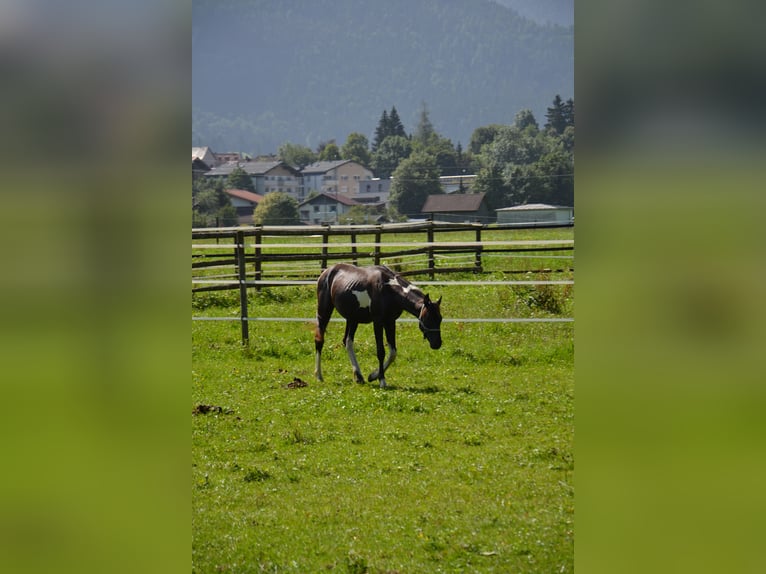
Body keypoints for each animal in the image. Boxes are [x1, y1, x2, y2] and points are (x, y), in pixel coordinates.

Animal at [314, 264, 444, 390]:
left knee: (347, 341)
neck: (389, 289)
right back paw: (319, 375)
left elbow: (393, 352)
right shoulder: (378, 322)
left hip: (352, 319)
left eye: (440, 319)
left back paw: (358, 376)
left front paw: (373, 376)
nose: (437, 344)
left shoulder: (390, 322)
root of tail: (326, 272)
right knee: (319, 340)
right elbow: (381, 352)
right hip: (324, 313)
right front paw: (382, 380)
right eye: (428, 318)